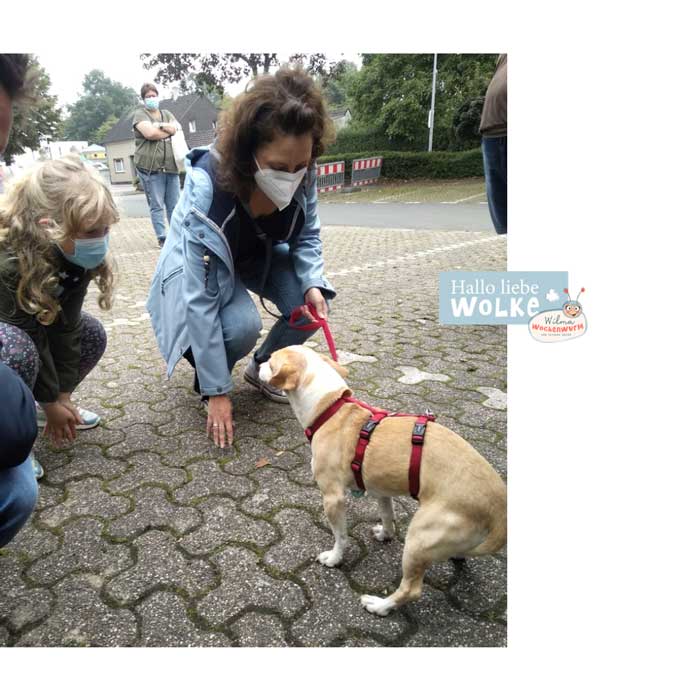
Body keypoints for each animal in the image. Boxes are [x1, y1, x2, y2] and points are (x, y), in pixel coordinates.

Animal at [260, 348, 506, 616]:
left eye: (270, 362)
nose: (258, 361)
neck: (330, 409)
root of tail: (499, 509)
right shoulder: (381, 491)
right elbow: (388, 515)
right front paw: (385, 534)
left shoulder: (333, 498)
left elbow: (341, 536)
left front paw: (335, 558)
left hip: (419, 537)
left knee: (411, 589)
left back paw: (380, 605)